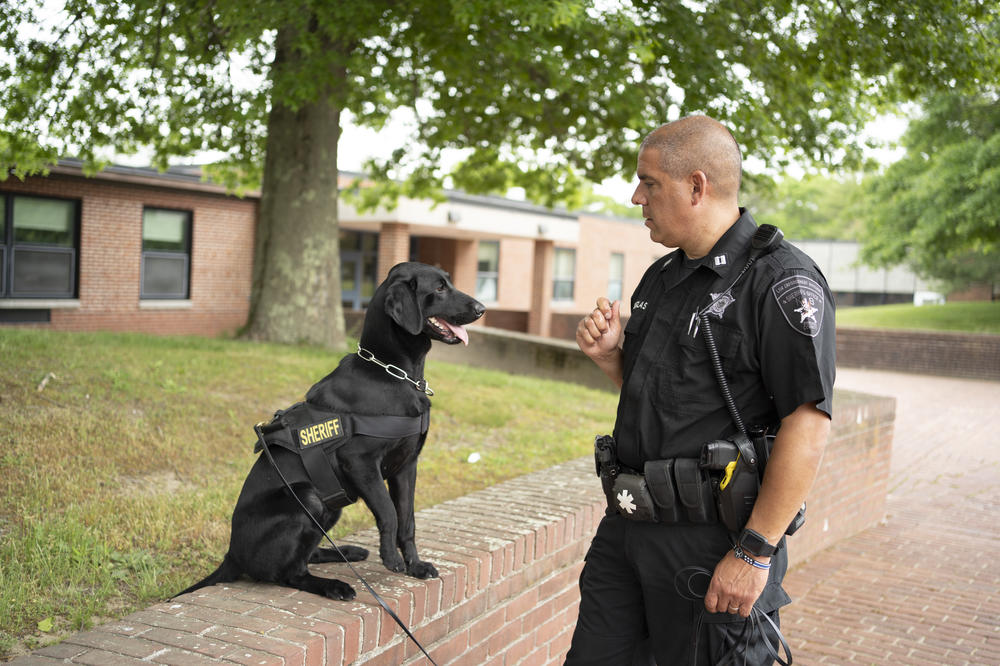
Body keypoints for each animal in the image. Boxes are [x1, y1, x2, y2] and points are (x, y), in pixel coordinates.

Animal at [181, 262, 488, 600]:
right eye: (440, 288)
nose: (482, 309)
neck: (393, 374)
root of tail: (231, 555)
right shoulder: (361, 463)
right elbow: (389, 513)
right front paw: (390, 558)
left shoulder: (406, 466)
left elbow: (408, 520)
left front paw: (416, 566)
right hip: (308, 498)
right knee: (289, 573)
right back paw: (333, 585)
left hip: (332, 504)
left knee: (307, 555)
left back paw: (348, 553)